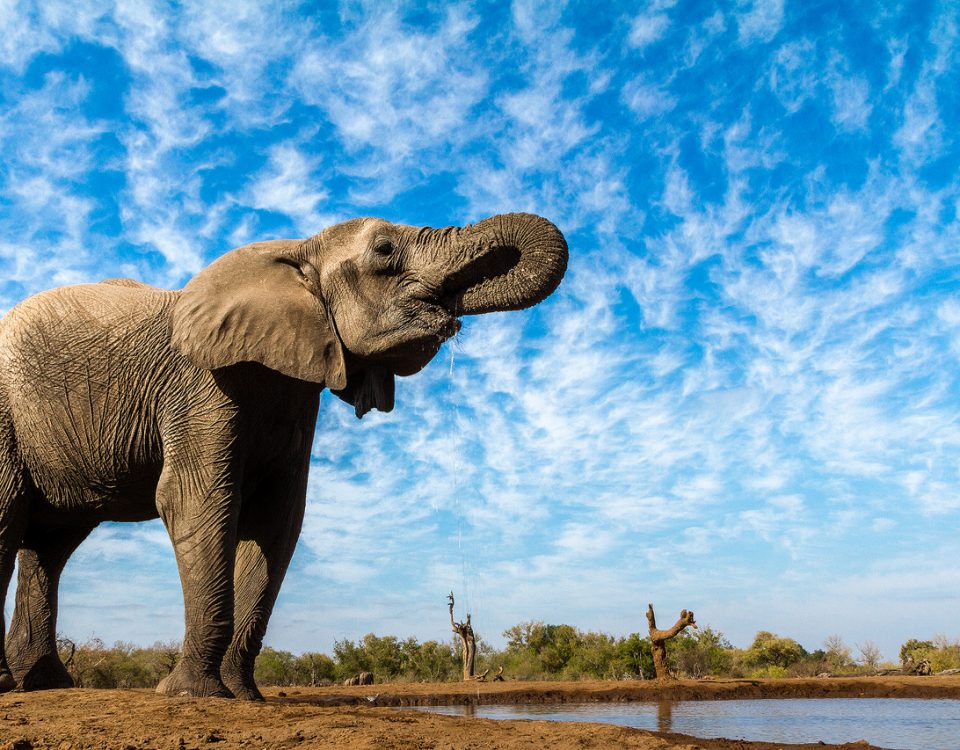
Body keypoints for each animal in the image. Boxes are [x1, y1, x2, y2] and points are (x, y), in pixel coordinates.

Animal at [0, 212, 567, 699]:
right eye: (384, 250)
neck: (298, 252)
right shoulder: (202, 384)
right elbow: (196, 502)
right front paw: (192, 695)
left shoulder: (294, 394)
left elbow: (277, 521)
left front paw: (244, 696)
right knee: (11, 520)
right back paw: (15, 687)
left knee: (50, 545)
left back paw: (47, 685)